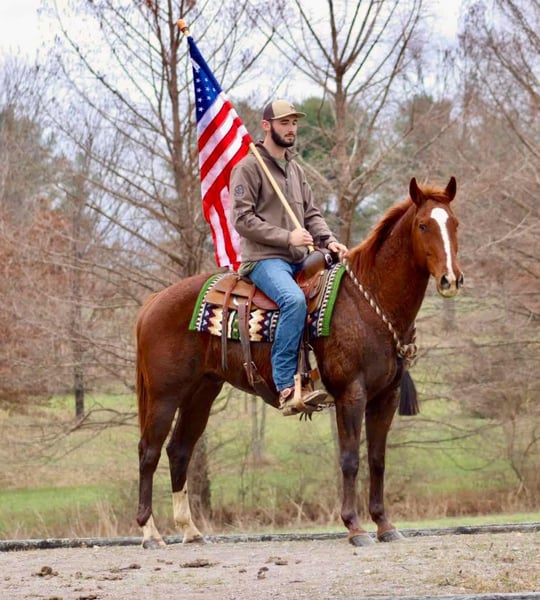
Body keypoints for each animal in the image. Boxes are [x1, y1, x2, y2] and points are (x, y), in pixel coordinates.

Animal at [136, 176, 463, 548]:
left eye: (454, 224)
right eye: (423, 225)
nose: (451, 279)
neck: (369, 302)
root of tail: (154, 302)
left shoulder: (386, 397)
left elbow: (377, 460)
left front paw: (384, 524)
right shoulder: (351, 394)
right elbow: (350, 459)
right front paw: (354, 526)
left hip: (201, 393)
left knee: (179, 450)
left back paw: (190, 530)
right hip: (164, 395)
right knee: (149, 451)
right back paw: (150, 533)